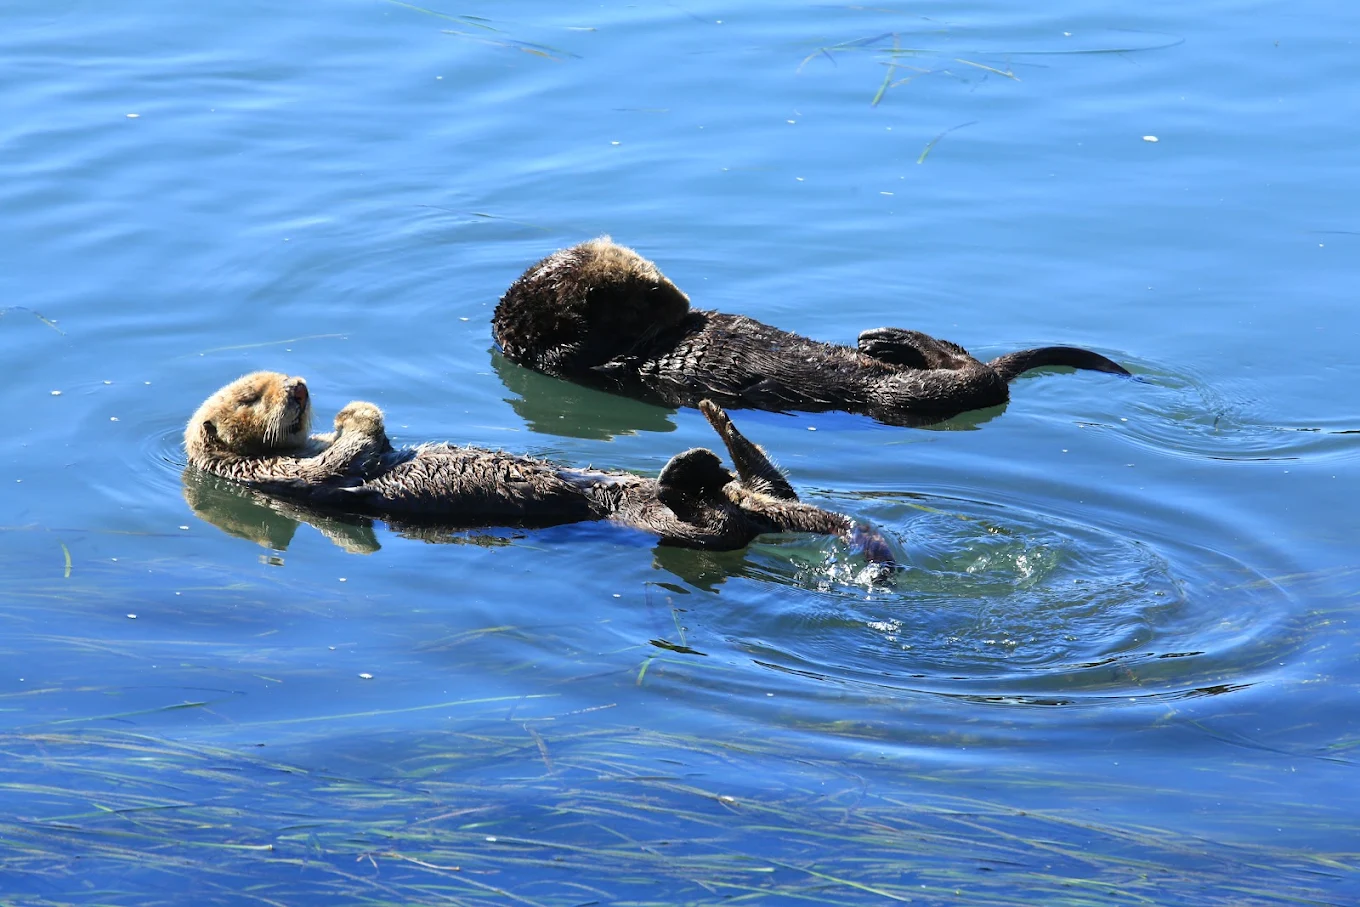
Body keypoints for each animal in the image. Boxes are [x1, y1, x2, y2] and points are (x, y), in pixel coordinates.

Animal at [185, 372, 893, 558]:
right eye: (250, 396)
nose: (300, 385)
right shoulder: (295, 480)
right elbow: (347, 457)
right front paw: (353, 414)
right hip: (670, 524)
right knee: (717, 527)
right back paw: (695, 466)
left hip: (753, 496)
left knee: (769, 488)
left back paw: (716, 423)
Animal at [492, 238, 1132, 426]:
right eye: (648, 292)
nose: (685, 304)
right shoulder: (573, 358)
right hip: (900, 399)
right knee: (971, 379)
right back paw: (889, 341)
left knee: (963, 358)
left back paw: (885, 337)